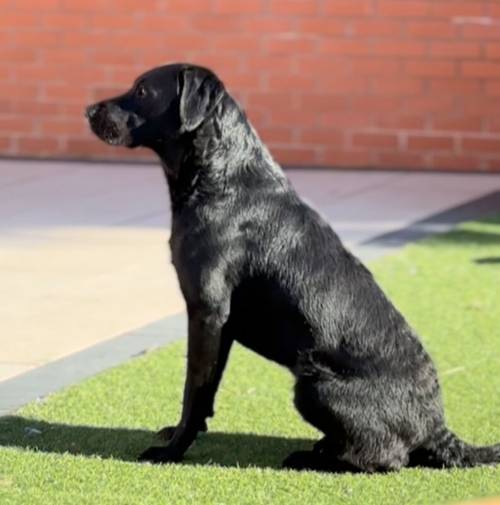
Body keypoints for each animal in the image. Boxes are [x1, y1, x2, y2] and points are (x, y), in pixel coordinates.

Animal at [87, 64, 500, 472]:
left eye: (142, 91)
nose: (88, 111)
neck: (222, 178)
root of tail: (437, 429)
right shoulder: (222, 324)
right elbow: (207, 391)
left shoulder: (206, 312)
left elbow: (194, 389)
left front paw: (172, 450)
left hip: (312, 382)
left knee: (388, 458)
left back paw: (309, 457)